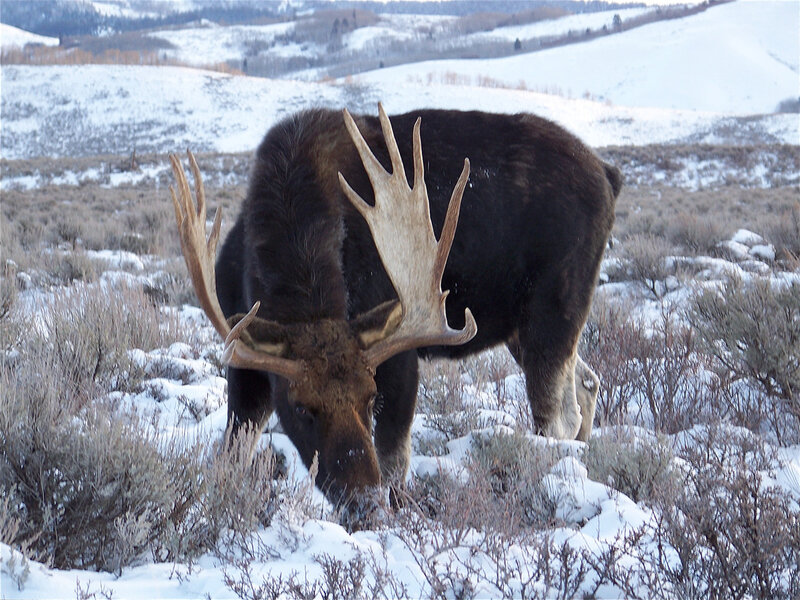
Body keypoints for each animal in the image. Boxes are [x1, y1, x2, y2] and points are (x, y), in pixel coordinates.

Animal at [169, 104, 621, 528]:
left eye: (369, 396)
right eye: (300, 408)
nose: (363, 503)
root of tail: (609, 174)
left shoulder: (399, 354)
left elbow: (393, 464)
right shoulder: (244, 357)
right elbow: (229, 459)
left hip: (555, 305)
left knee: (557, 416)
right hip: (519, 328)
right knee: (587, 382)